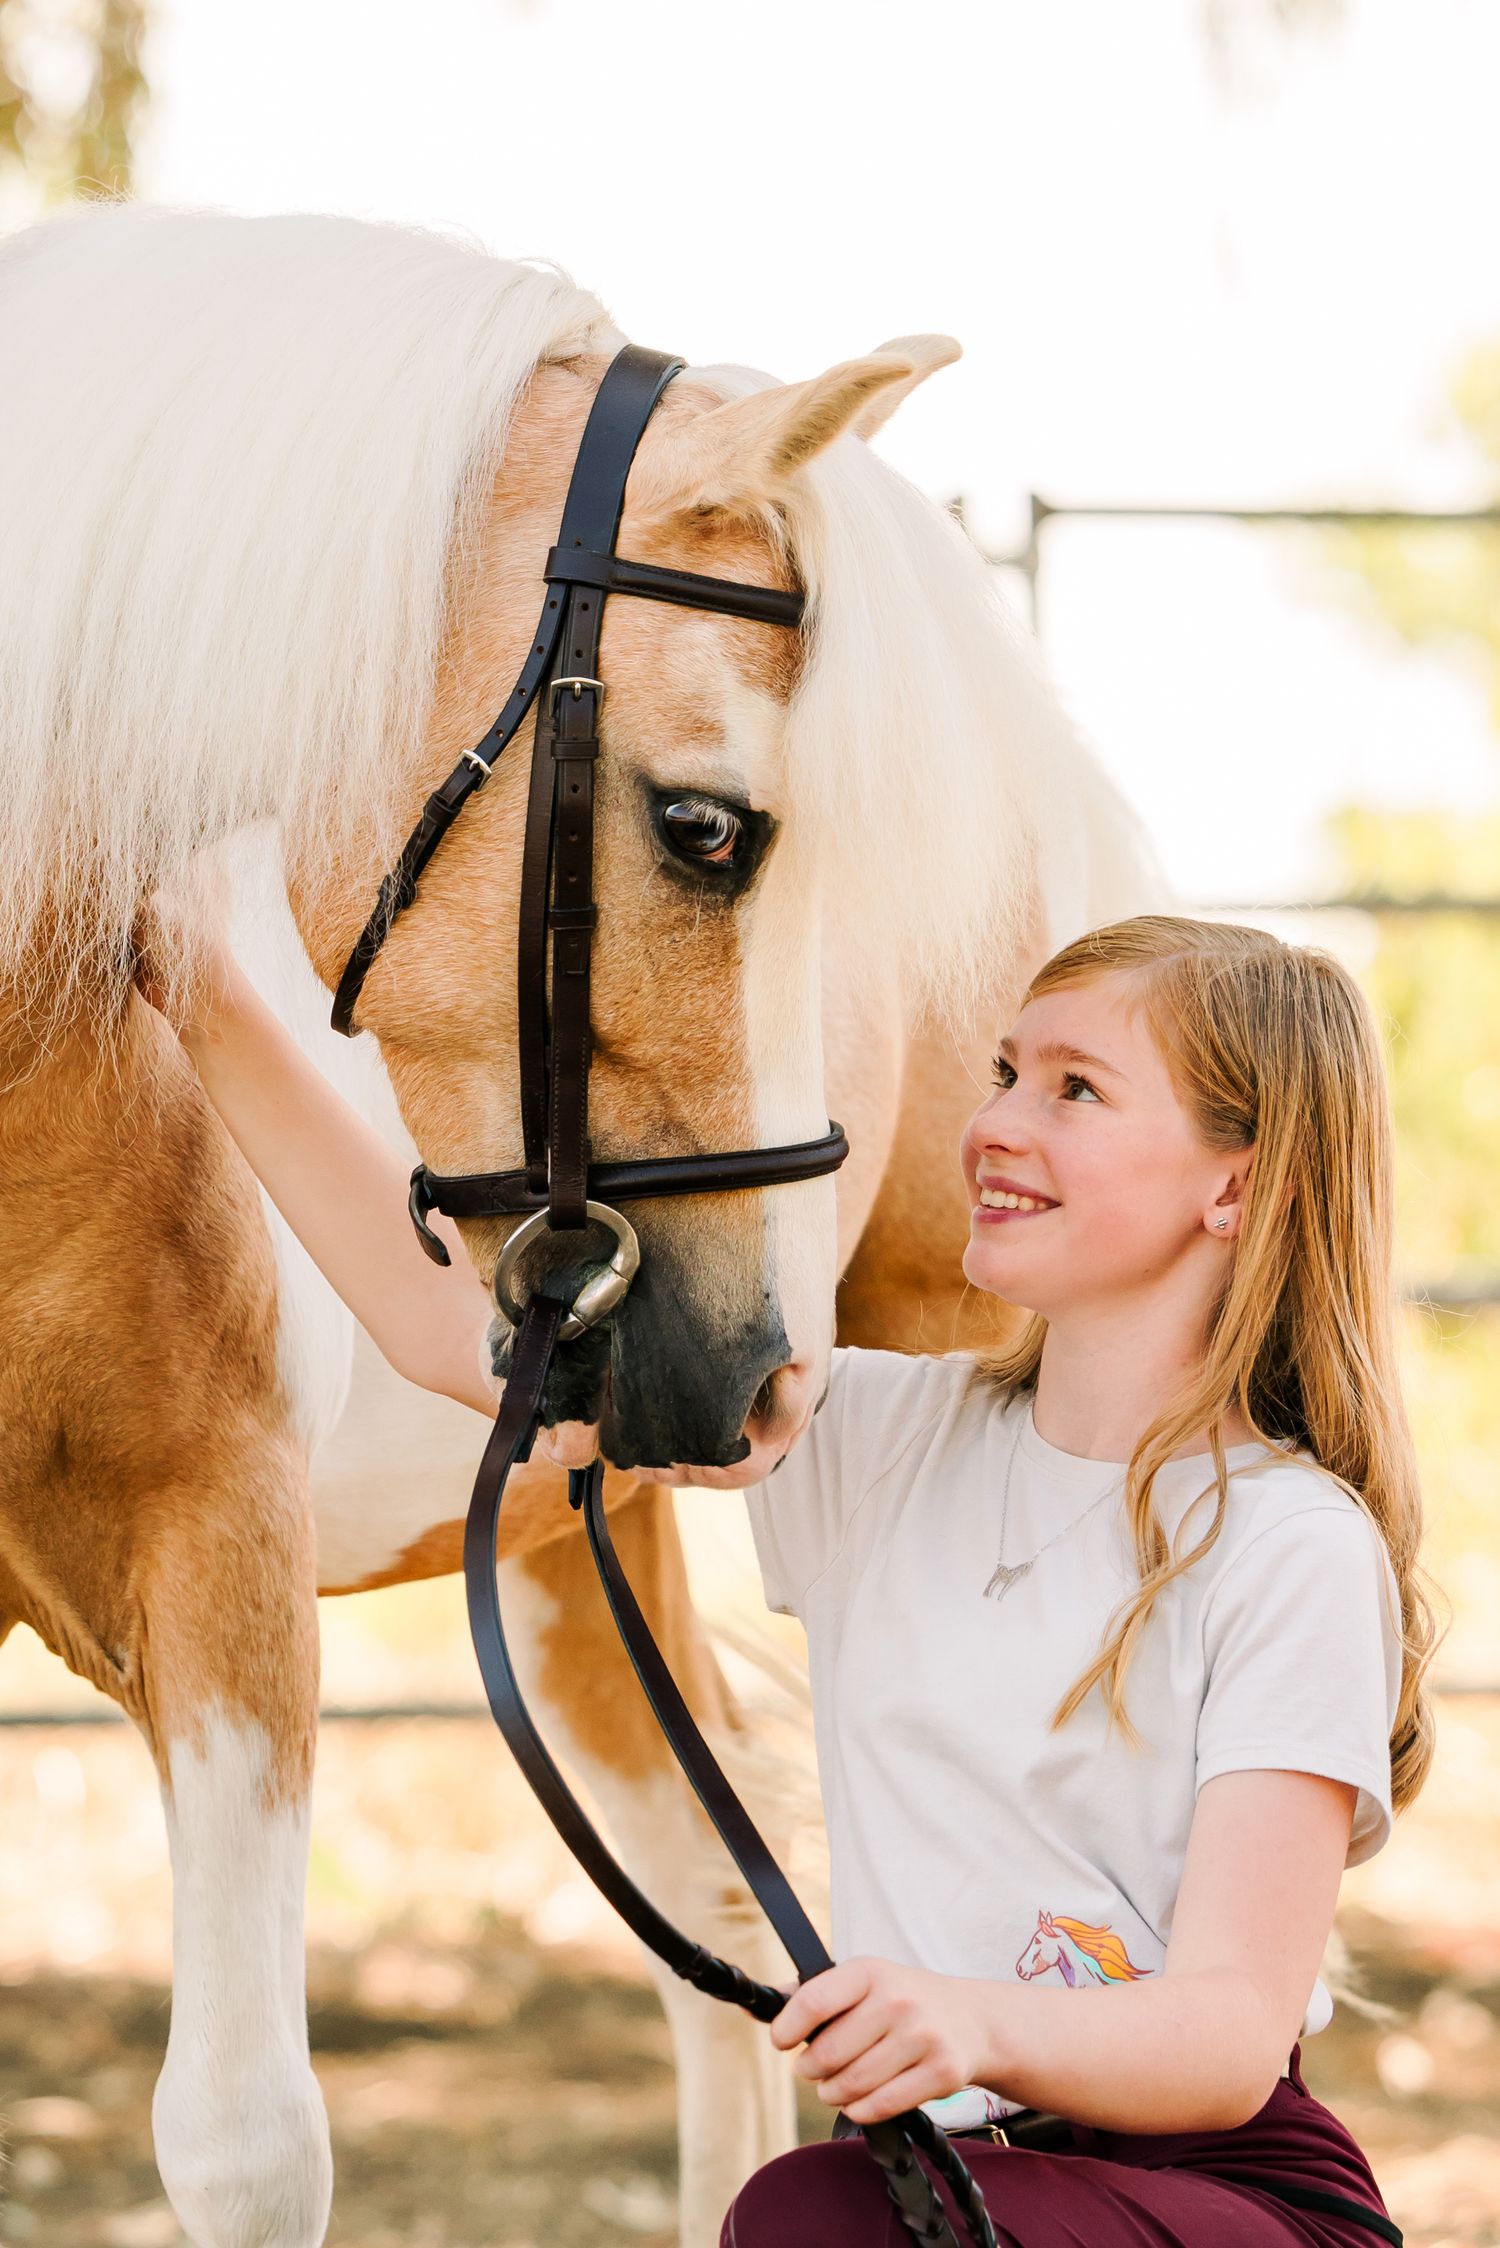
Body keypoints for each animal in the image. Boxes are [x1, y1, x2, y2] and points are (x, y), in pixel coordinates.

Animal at [0, 202, 1162, 2248]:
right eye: (707, 828)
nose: (761, 1372)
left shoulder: (214, 1549)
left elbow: (242, 2139)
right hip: (571, 1541)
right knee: (721, 1921)